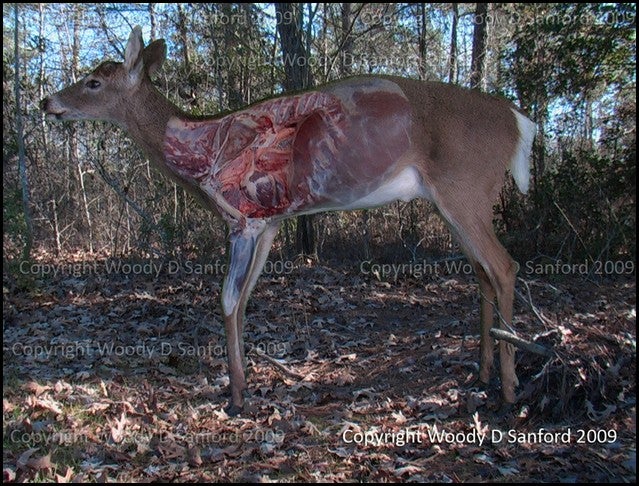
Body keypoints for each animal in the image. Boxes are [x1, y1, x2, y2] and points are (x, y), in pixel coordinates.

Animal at [42, 25, 536, 414]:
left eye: (92, 81)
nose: (48, 102)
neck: (196, 149)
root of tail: (521, 122)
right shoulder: (270, 222)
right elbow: (243, 302)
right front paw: (245, 385)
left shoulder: (243, 219)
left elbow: (226, 301)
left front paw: (236, 398)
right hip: (452, 201)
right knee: (482, 272)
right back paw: (483, 375)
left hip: (466, 187)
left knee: (505, 266)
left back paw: (511, 390)